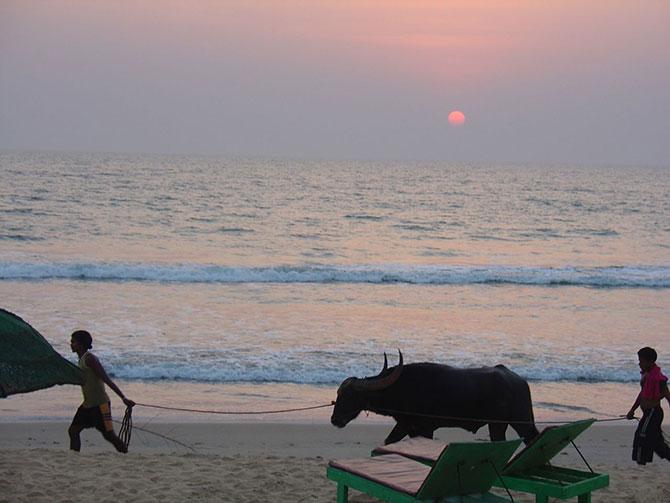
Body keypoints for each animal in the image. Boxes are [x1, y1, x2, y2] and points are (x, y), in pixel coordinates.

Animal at [330, 350, 540, 444]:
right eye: (338, 395)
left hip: (519, 422)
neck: (401, 387)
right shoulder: (407, 427)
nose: (334, 419)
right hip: (500, 425)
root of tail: (519, 381)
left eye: (350, 396)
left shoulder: (424, 429)